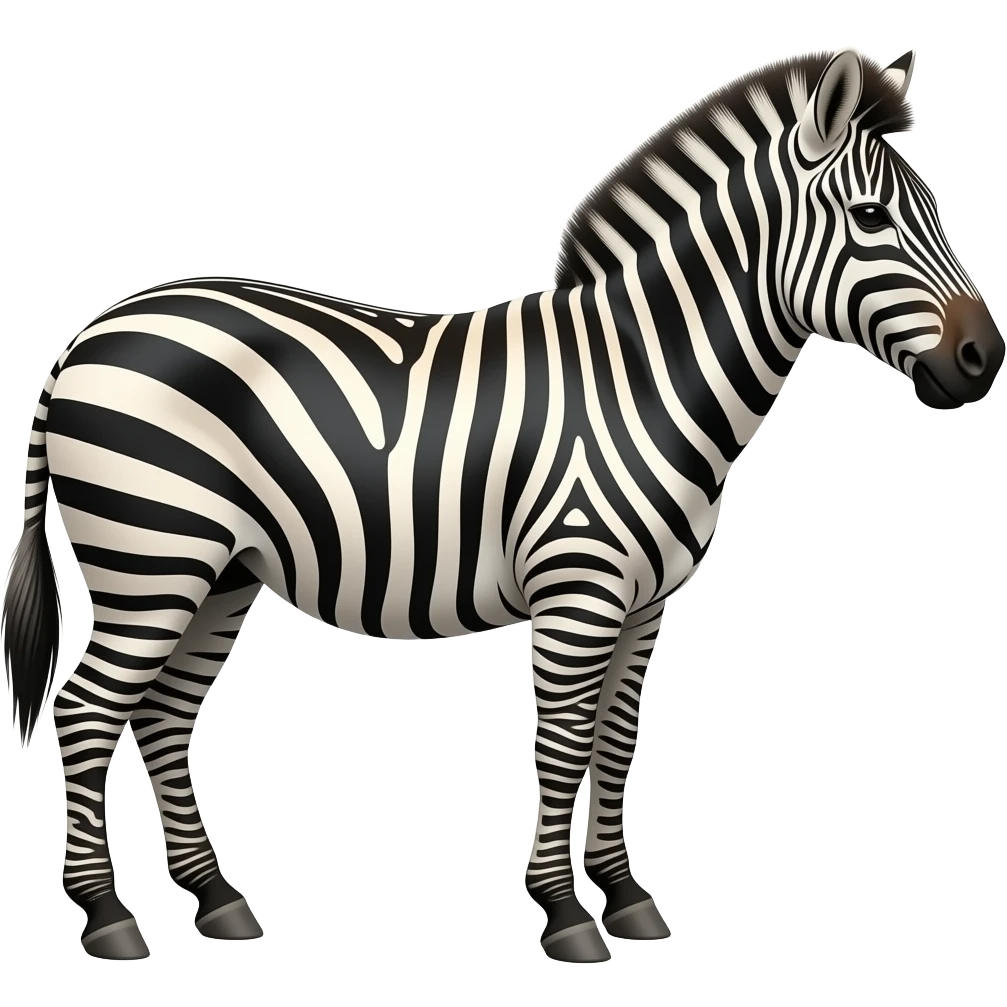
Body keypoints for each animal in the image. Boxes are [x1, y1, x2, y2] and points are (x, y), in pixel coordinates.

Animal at [2, 47, 1003, 965]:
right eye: (871, 217)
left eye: (935, 210)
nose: (981, 359)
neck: (644, 379)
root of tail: (86, 335)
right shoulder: (578, 589)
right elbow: (561, 744)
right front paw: (565, 915)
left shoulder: (644, 606)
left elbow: (614, 742)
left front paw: (627, 897)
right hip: (152, 555)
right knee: (88, 711)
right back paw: (108, 915)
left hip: (219, 571)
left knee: (163, 715)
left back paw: (217, 900)